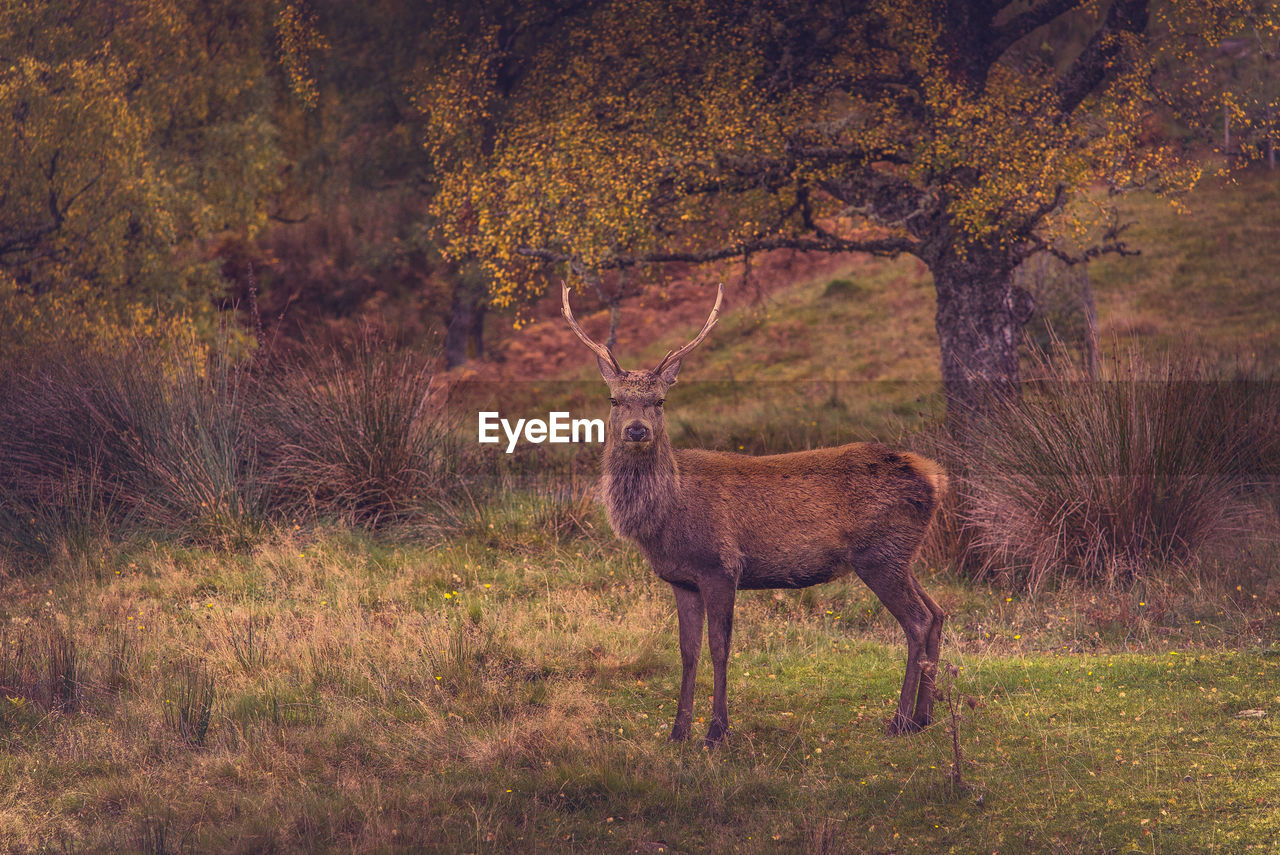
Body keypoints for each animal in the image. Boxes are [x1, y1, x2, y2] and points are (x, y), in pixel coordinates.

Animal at [563, 281, 952, 747]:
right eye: (615, 399)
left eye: (659, 401)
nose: (636, 430)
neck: (666, 516)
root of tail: (935, 477)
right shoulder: (681, 579)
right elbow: (688, 652)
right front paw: (677, 732)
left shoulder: (721, 566)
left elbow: (720, 648)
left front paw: (716, 732)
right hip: (901, 555)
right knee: (937, 613)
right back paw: (924, 717)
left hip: (880, 555)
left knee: (917, 621)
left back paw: (899, 721)